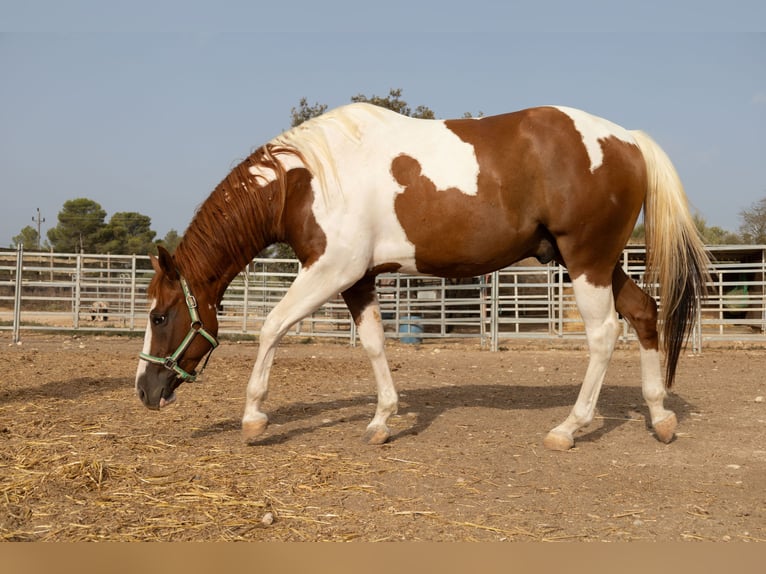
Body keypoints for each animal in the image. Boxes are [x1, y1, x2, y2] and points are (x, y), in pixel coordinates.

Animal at [135, 102, 709, 450]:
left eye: (160, 315)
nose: (145, 390)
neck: (305, 180)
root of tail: (627, 140)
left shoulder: (330, 270)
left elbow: (272, 326)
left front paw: (254, 418)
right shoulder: (358, 279)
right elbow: (373, 345)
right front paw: (382, 420)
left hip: (587, 261)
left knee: (603, 334)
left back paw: (568, 428)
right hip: (598, 262)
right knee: (644, 314)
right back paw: (659, 417)